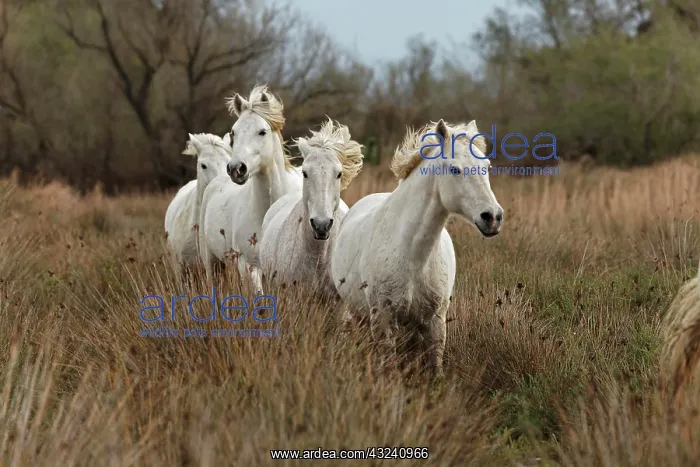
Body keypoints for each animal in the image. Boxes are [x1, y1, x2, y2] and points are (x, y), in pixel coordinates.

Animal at [330, 119, 504, 378]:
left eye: (487, 166)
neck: (412, 256)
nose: (492, 217)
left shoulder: (434, 322)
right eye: (455, 169)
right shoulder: (383, 321)